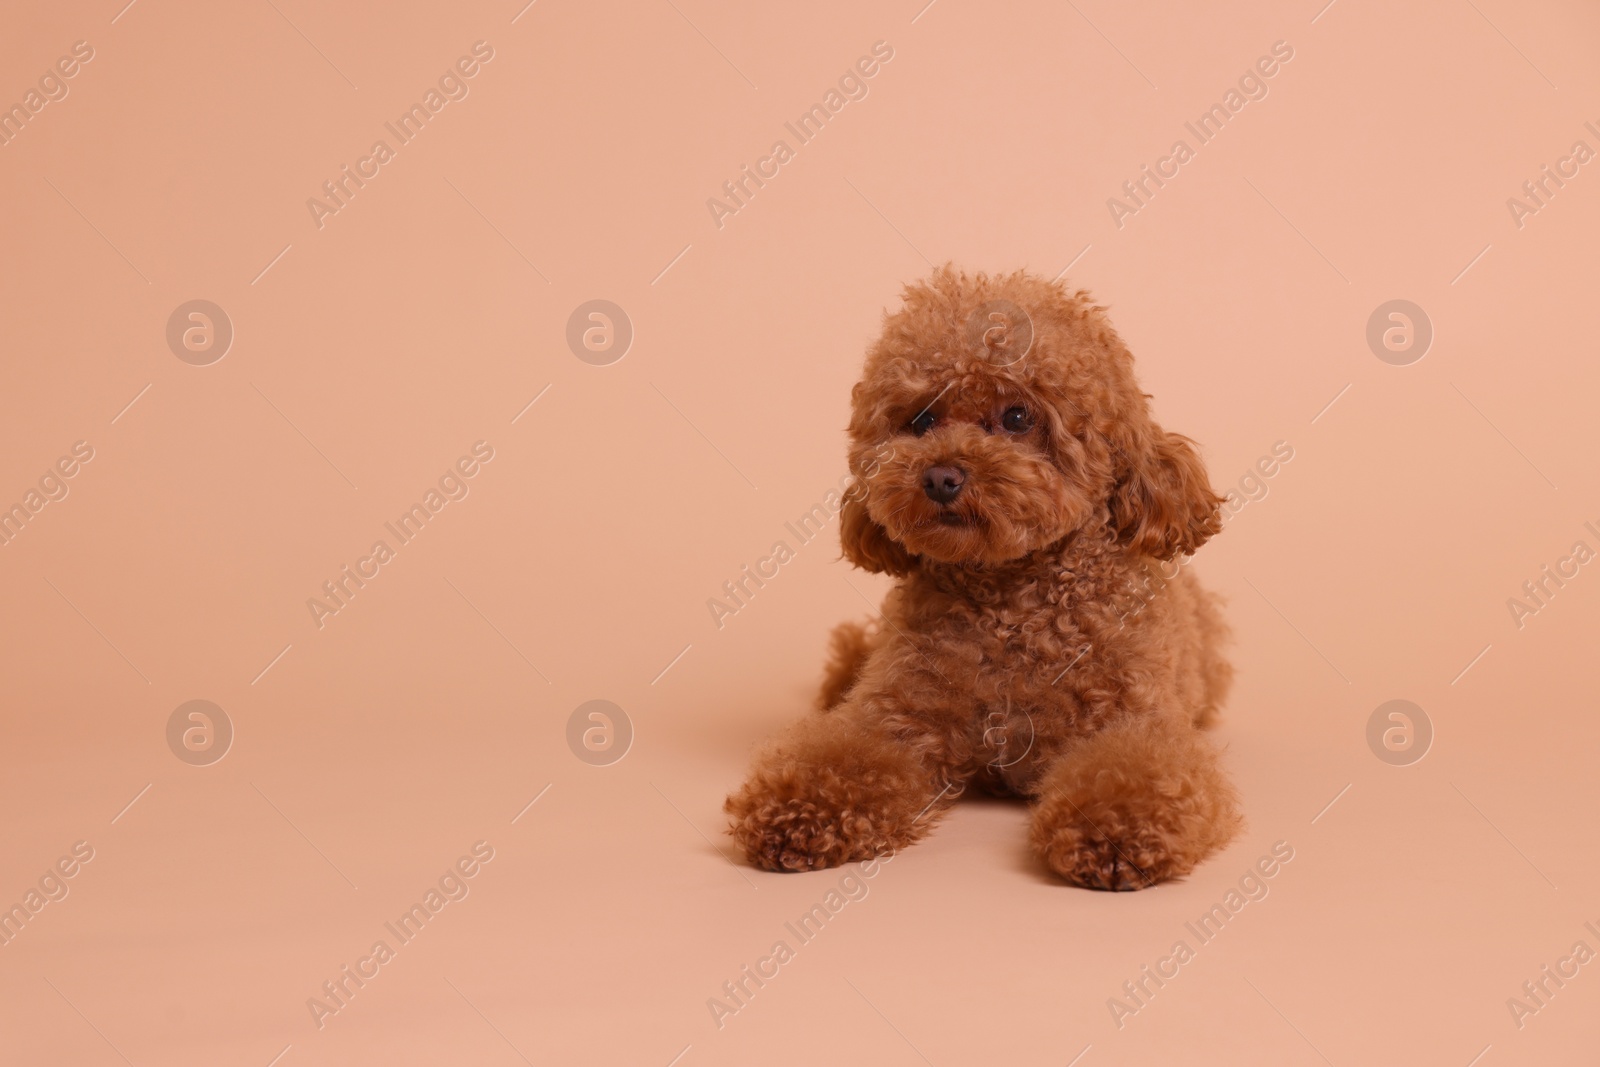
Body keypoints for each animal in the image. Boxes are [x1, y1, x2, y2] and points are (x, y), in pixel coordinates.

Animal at [720, 268, 1241, 895]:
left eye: (1018, 417)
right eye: (921, 421)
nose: (940, 476)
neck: (1009, 605)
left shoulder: (1133, 720)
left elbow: (1135, 771)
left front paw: (1114, 830)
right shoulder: (895, 715)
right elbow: (842, 755)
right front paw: (794, 811)